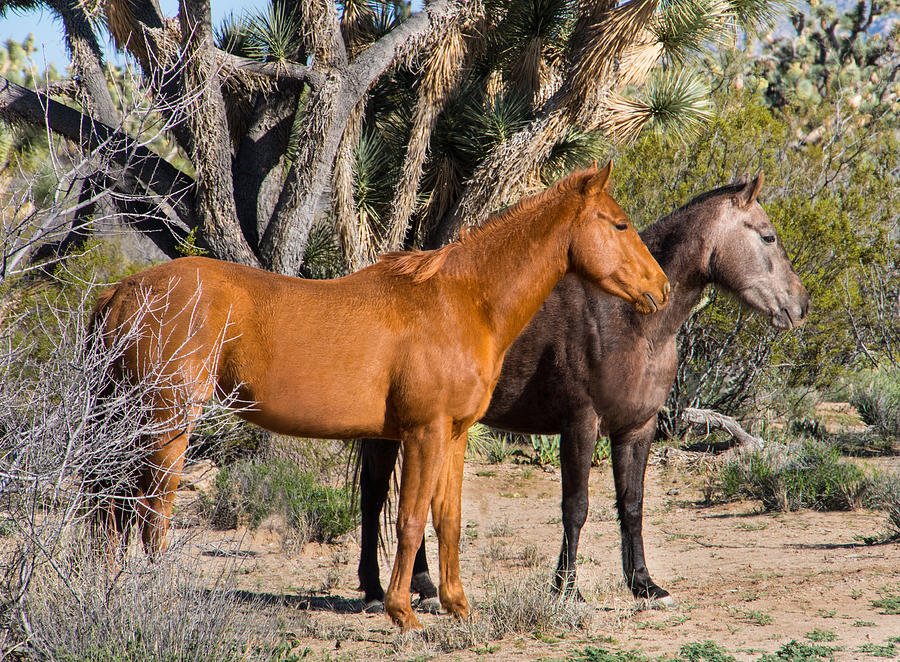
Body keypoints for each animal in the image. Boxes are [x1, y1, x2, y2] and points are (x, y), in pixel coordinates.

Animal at [89, 162, 670, 631]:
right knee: (151, 510)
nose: (661, 289)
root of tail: (124, 289)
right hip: (166, 424)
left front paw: (457, 606)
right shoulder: (424, 433)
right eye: (618, 224)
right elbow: (409, 520)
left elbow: (447, 519)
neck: (462, 301)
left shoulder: (454, 437)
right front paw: (402, 611)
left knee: (116, 506)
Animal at [355, 173, 810, 610]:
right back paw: (377, 589)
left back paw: (423, 584)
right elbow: (576, 507)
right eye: (768, 236)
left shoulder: (637, 428)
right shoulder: (580, 424)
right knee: (374, 495)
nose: (800, 305)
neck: (631, 319)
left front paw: (644, 585)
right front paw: (567, 589)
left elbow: (632, 504)